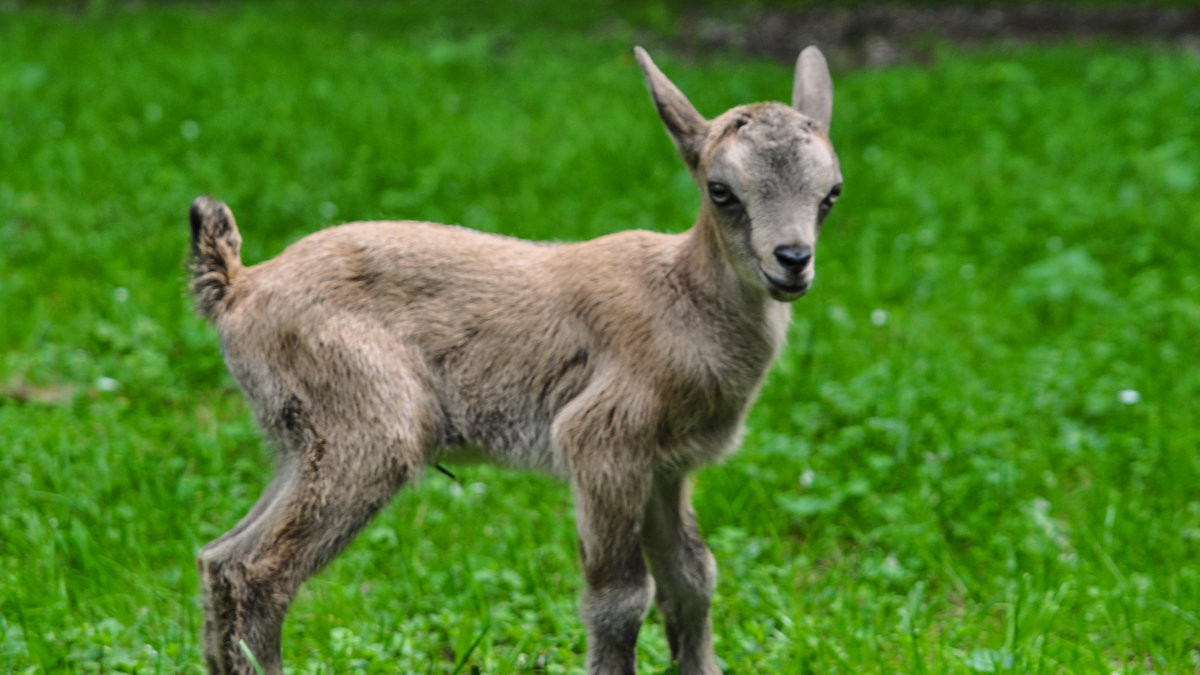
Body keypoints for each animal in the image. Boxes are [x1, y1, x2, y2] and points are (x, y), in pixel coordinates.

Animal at [189, 44, 844, 667]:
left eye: (832, 193)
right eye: (721, 190)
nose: (792, 260)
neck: (682, 299)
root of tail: (239, 286)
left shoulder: (666, 466)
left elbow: (691, 578)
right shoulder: (603, 442)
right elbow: (620, 597)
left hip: (300, 440)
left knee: (220, 558)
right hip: (368, 421)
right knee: (260, 572)